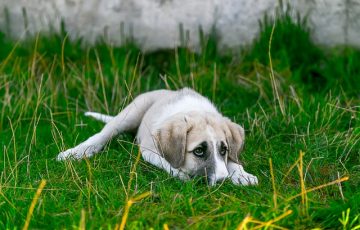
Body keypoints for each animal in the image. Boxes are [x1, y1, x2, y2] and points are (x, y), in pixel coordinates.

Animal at [56, 87, 258, 186]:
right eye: (199, 151)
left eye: (224, 150)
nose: (223, 181)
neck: (194, 111)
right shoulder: (148, 149)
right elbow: (168, 163)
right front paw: (181, 174)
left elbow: (233, 161)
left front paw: (242, 175)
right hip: (131, 112)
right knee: (103, 134)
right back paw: (76, 152)